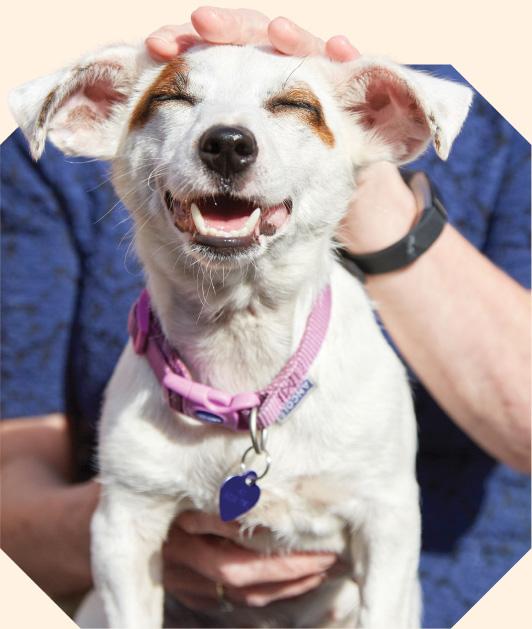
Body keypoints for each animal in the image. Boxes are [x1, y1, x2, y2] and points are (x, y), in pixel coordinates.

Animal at [10, 41, 472, 624]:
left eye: (296, 106)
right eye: (171, 97)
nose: (227, 143)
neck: (242, 356)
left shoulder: (386, 522)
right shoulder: (122, 527)